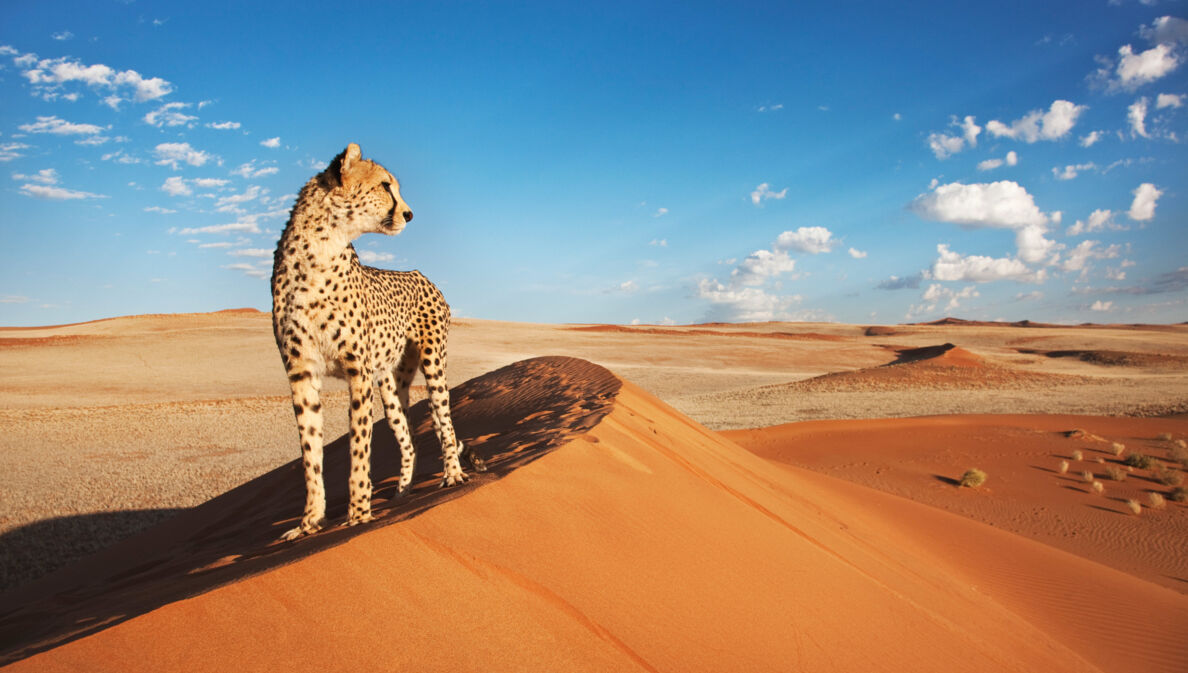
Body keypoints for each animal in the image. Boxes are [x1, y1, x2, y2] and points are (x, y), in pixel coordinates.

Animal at [272, 143, 484, 544]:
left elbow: (359, 446)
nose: (410, 214)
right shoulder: (300, 373)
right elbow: (310, 453)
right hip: (389, 385)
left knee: (444, 423)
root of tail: (421, 274)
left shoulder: (358, 371)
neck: (320, 249)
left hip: (433, 364)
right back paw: (402, 492)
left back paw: (452, 475)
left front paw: (358, 514)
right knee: (408, 438)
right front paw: (310, 523)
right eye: (386, 185)